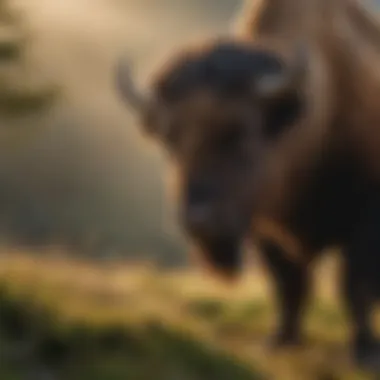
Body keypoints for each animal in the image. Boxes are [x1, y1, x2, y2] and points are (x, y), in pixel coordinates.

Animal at [117, 0, 380, 372]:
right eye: (170, 140)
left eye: (240, 132)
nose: (198, 221)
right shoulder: (264, 227)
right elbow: (288, 283)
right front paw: (281, 341)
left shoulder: (367, 217)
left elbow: (357, 287)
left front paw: (366, 352)